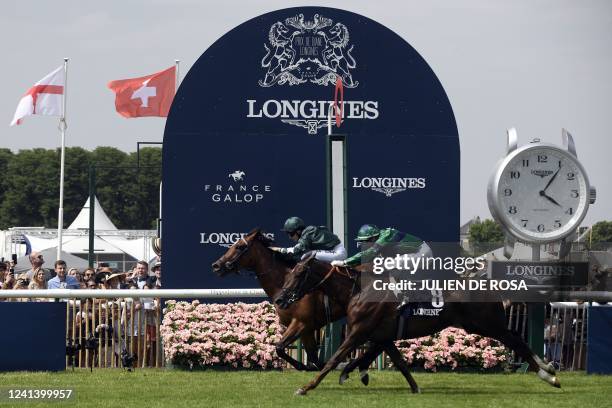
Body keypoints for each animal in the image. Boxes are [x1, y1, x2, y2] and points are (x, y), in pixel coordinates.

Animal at [276, 258, 560, 396]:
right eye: (288, 273)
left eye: (299, 274)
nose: (279, 298)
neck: (358, 290)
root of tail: (489, 283)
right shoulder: (382, 336)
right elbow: (399, 363)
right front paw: (415, 387)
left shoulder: (358, 332)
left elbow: (333, 360)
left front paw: (306, 387)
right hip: (481, 325)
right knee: (515, 338)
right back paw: (547, 370)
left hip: (486, 324)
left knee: (516, 340)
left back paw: (548, 374)